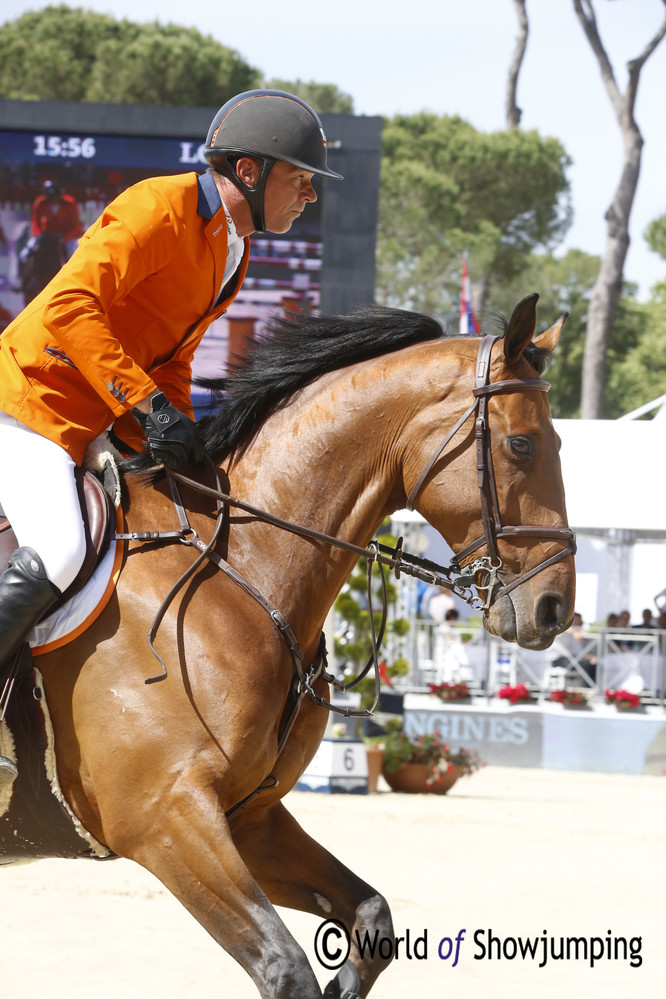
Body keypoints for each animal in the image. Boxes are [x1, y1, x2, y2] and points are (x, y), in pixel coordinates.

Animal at [0, 292, 572, 996]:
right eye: (522, 444)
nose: (555, 607)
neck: (238, 567)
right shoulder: (165, 818)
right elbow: (286, 969)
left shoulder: (248, 818)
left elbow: (372, 918)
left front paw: (345, 981)